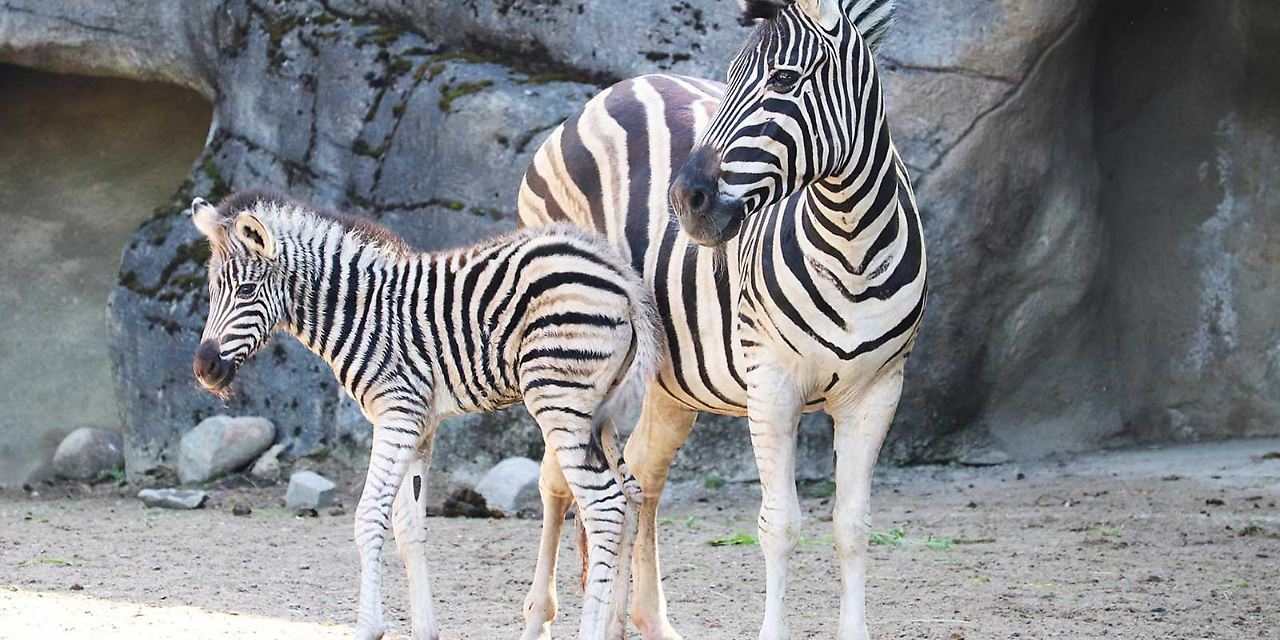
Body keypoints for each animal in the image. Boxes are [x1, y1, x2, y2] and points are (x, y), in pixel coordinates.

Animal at [186, 190, 660, 640]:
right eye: (211, 291)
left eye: (246, 292)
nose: (204, 369)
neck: (360, 312)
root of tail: (621, 277)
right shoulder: (421, 424)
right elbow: (409, 526)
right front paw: (424, 629)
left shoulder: (398, 412)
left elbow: (370, 516)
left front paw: (369, 627)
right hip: (599, 414)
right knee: (631, 497)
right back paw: (615, 627)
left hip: (559, 402)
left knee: (604, 508)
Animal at [514, 1, 926, 640]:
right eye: (730, 77)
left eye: (784, 80)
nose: (685, 200)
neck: (851, 243)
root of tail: (614, 91)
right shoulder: (772, 386)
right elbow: (779, 525)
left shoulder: (879, 390)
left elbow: (853, 527)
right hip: (567, 350)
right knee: (557, 482)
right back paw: (540, 615)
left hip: (670, 384)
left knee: (639, 478)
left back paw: (638, 619)